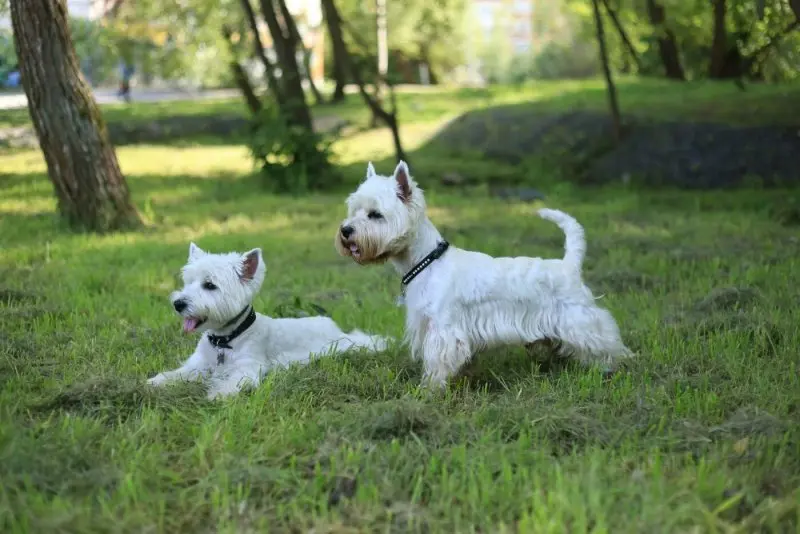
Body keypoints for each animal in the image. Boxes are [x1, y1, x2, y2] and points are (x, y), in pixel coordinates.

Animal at [148, 245, 392, 400]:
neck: (224, 340)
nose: (178, 303)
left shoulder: (249, 366)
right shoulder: (199, 363)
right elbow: (179, 373)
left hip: (341, 345)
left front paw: (219, 393)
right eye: (188, 282)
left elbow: (236, 380)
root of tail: (334, 325)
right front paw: (157, 381)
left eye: (210, 285)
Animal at [336, 161, 632, 388]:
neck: (427, 260)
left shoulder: (443, 328)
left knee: (606, 341)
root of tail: (569, 264)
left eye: (375, 214)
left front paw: (429, 389)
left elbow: (438, 361)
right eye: (354, 209)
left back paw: (613, 367)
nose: (345, 230)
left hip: (579, 318)